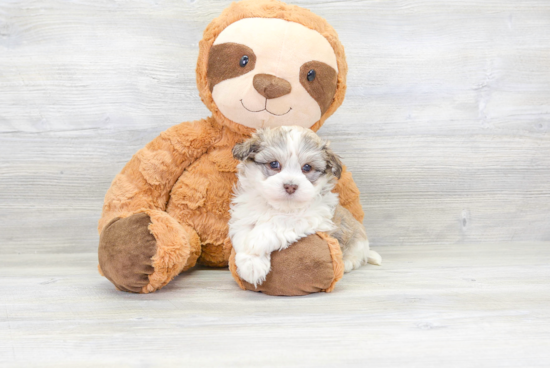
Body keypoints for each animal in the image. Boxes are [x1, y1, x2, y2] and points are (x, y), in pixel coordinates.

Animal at [230, 126, 384, 288]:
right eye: (274, 164)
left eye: (307, 167)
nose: (290, 186)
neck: (279, 207)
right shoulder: (244, 215)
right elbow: (242, 234)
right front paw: (251, 264)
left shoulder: (314, 216)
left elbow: (280, 221)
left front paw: (255, 241)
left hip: (357, 240)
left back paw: (347, 263)